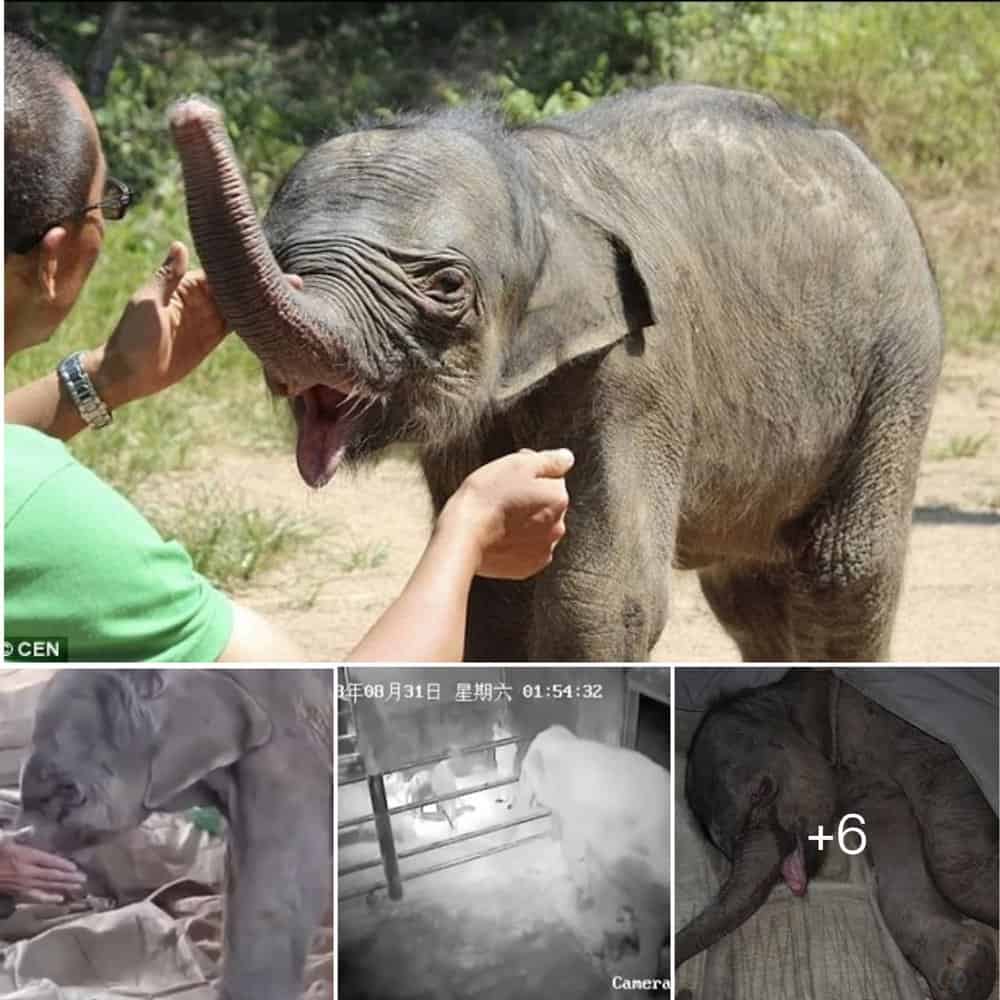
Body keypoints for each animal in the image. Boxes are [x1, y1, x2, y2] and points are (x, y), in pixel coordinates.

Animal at [168, 81, 943, 662]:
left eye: (446, 285)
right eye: (283, 259)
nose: (189, 111)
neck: (532, 181)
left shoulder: (641, 365)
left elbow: (604, 597)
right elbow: (492, 593)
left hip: (898, 359)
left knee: (843, 574)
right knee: (748, 594)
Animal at [676, 669, 999, 1000]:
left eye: (762, 791)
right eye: (725, 848)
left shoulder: (910, 734)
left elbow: (950, 851)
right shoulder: (867, 787)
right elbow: (895, 839)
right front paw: (964, 972)